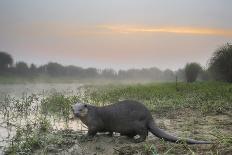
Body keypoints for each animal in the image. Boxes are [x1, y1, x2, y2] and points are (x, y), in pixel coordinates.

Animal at [72, 100, 212, 145]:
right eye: (73, 108)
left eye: (81, 109)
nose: (76, 113)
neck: (90, 115)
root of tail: (149, 116)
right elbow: (110, 131)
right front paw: (108, 135)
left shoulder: (94, 123)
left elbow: (92, 131)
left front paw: (84, 137)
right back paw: (125, 136)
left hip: (137, 124)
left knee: (145, 133)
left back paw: (137, 140)